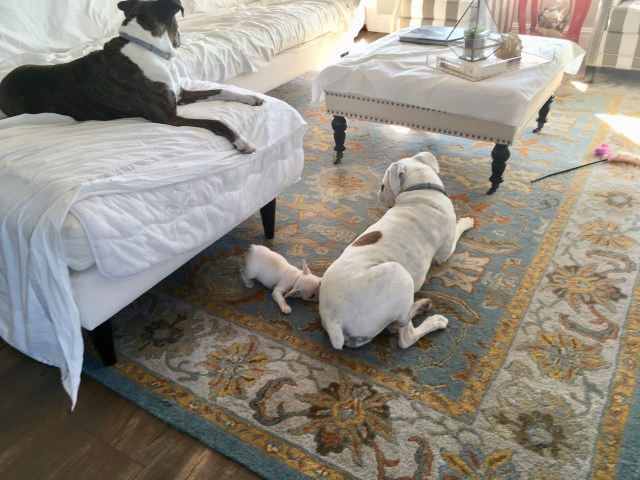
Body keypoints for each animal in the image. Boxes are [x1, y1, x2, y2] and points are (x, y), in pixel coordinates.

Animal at [0, 0, 260, 153]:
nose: (181, 40)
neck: (146, 47)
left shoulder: (180, 95)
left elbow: (223, 90)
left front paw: (250, 98)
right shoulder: (170, 117)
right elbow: (216, 122)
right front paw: (241, 141)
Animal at [319, 152, 474, 349]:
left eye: (382, 185)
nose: (379, 194)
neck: (421, 189)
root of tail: (333, 321)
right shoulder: (445, 252)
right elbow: (457, 231)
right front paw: (466, 221)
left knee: (395, 325)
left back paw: (421, 306)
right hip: (400, 274)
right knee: (405, 336)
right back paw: (433, 321)